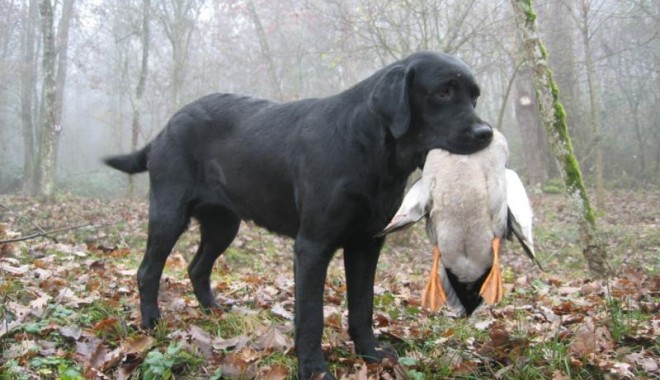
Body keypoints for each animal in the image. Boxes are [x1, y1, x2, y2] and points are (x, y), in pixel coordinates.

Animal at [105, 51, 492, 380]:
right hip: (169, 213)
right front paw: (314, 369)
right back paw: (152, 324)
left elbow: (362, 307)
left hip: (223, 223)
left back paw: (214, 312)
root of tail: (166, 126)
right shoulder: (312, 246)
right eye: (442, 92)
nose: (486, 133)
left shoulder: (366, 244)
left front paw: (370, 354)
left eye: (474, 97)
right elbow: (311, 317)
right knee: (148, 271)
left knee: (197, 267)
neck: (368, 148)